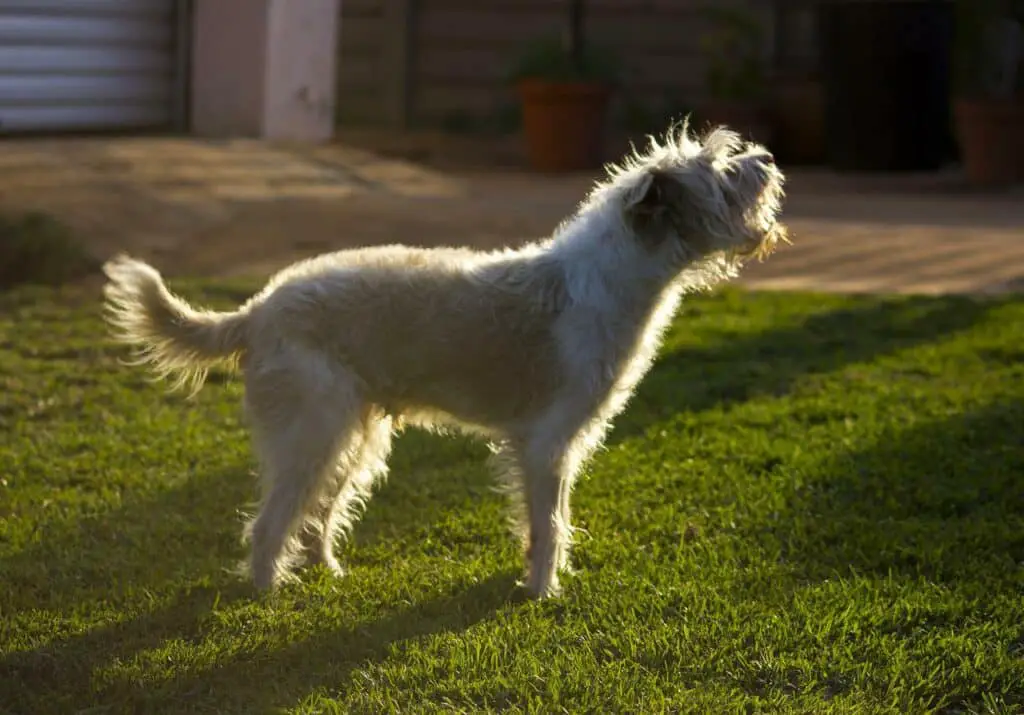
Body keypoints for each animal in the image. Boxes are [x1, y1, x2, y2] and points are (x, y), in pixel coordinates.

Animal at [101, 122, 782, 594]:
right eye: (719, 171)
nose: (768, 158)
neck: (611, 277)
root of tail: (258, 308)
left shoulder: (553, 448)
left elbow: (548, 522)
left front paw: (541, 582)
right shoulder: (547, 444)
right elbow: (549, 525)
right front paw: (540, 592)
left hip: (355, 437)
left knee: (318, 516)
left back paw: (327, 572)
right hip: (312, 435)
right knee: (270, 522)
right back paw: (269, 591)